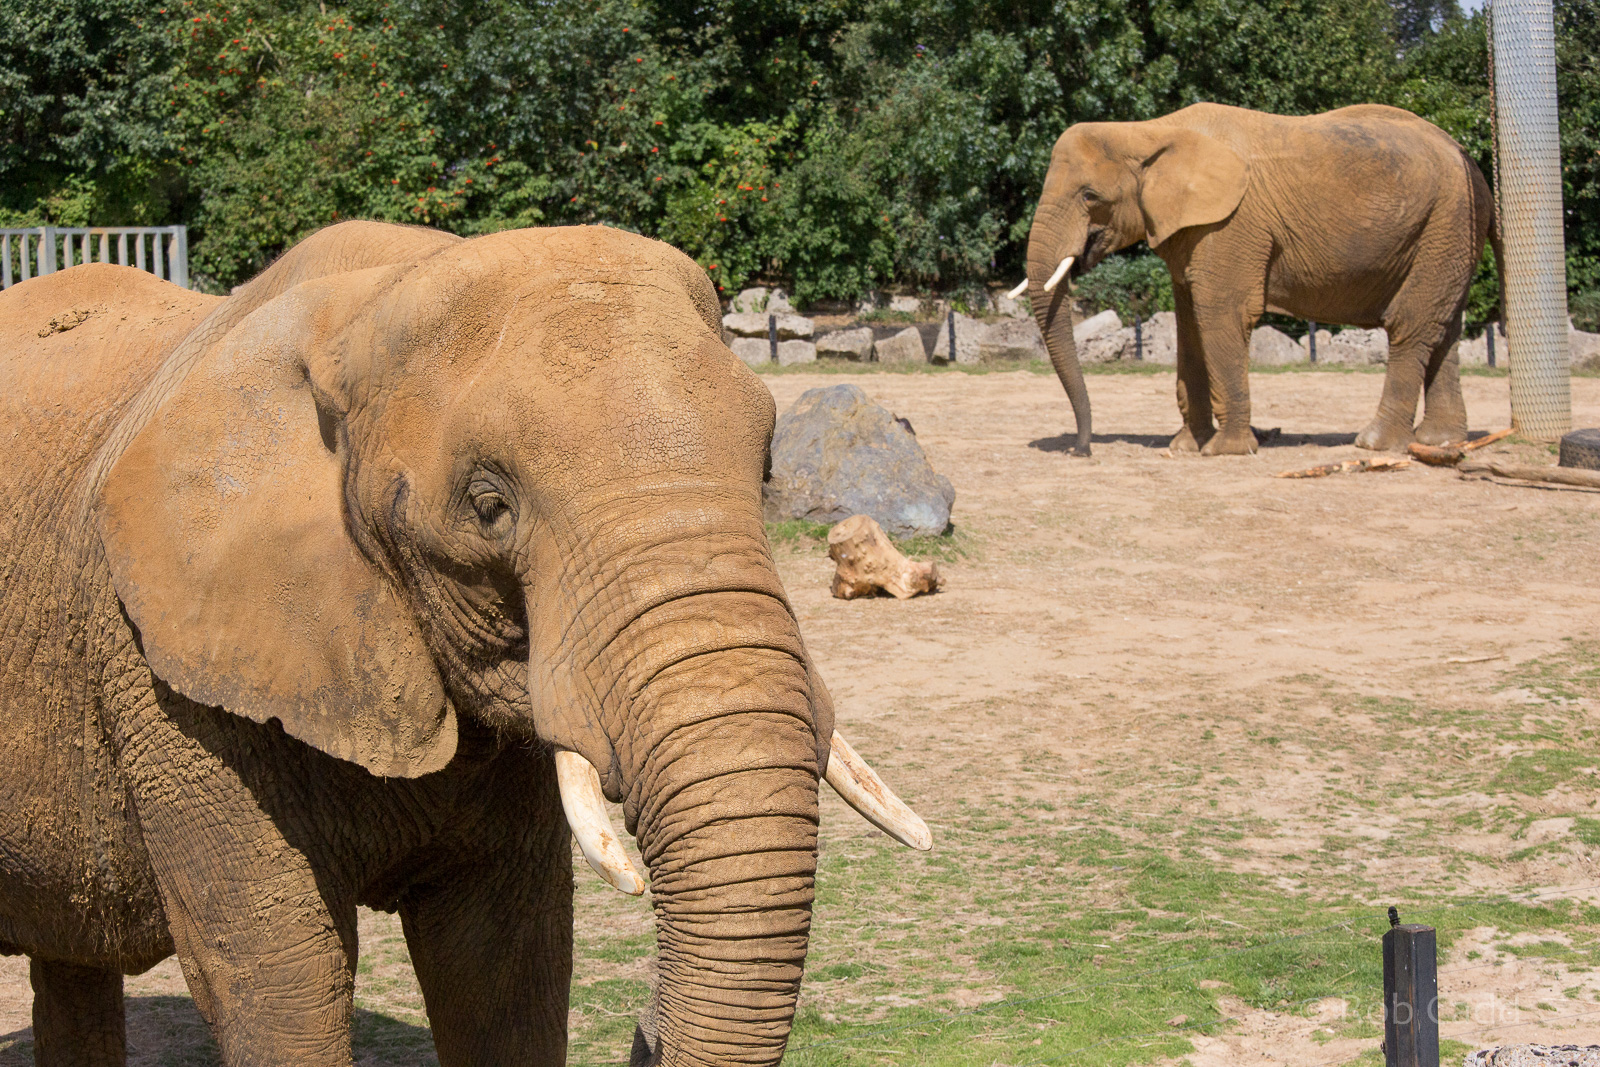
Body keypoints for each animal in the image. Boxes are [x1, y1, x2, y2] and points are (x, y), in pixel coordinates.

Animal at [0, 221, 930, 1066]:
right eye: (489, 504)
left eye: (767, 467)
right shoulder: (164, 677)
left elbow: (500, 963)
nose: (647, 1024)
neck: (368, 301)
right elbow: (280, 976)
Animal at [1013, 102, 1498, 455]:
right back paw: (1439, 441)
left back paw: (1375, 444)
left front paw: (1223, 451)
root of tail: (1470, 160)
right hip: (1452, 229)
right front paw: (1186, 447)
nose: (1080, 450)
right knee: (1444, 327)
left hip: (1447, 220)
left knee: (1411, 323)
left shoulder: (1232, 223)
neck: (1149, 131)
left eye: (1090, 196)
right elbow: (1189, 324)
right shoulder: (1191, 229)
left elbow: (1220, 314)